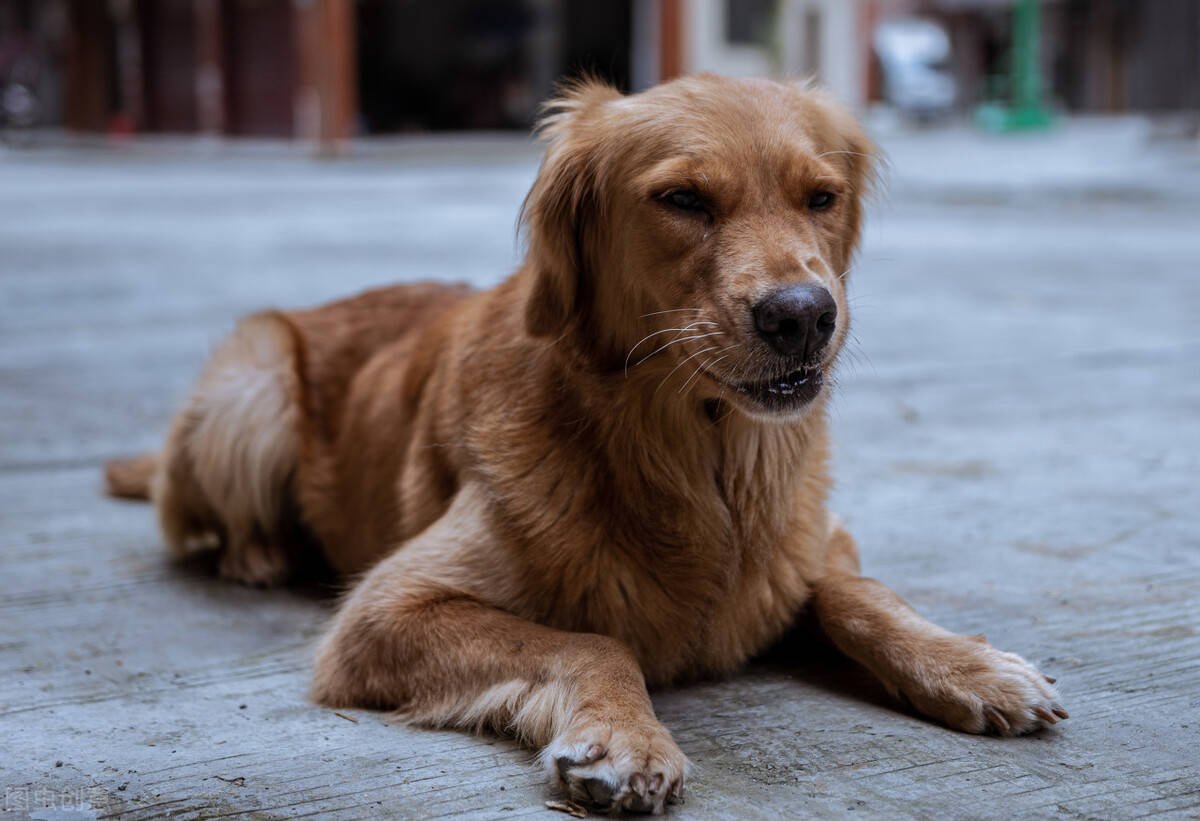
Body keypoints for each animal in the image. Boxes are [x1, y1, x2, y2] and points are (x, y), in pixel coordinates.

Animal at [108, 75, 1065, 816]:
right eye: (684, 199)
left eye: (819, 198)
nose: (803, 317)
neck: (701, 461)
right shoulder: (382, 611)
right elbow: (592, 640)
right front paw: (622, 737)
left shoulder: (815, 536)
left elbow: (858, 594)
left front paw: (970, 664)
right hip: (256, 378)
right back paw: (259, 552)